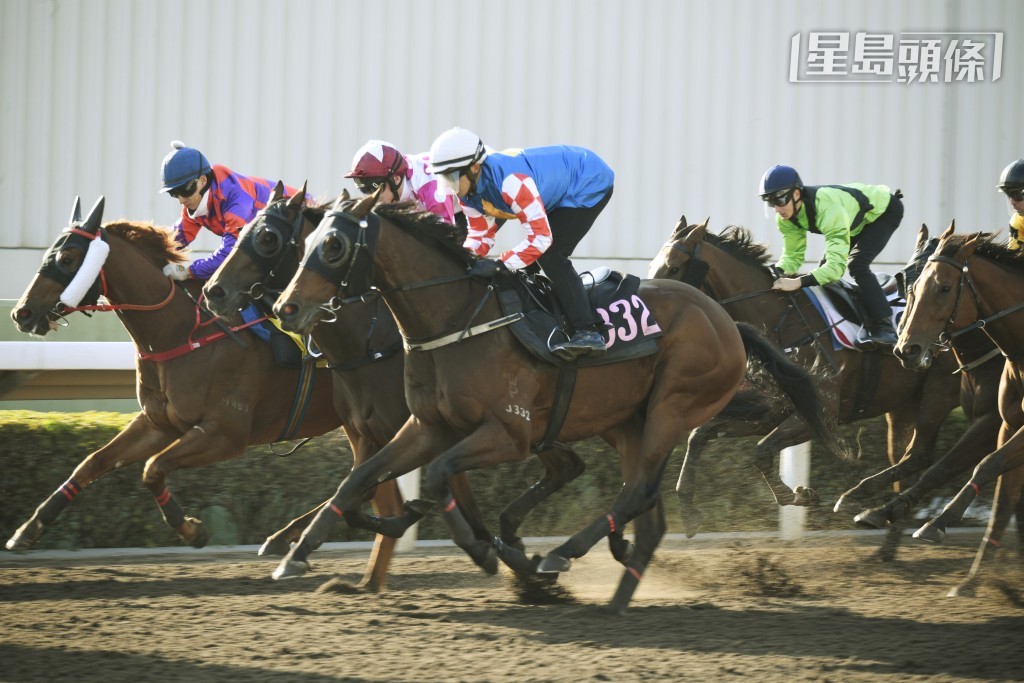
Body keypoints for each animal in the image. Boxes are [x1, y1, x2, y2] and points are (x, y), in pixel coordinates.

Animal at [6, 194, 348, 565]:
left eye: (67, 258)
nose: (21, 313)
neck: (181, 332)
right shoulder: (158, 423)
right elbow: (91, 463)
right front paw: (27, 530)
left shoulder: (225, 434)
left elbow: (153, 469)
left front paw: (193, 531)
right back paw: (291, 534)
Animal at [201, 183, 585, 581]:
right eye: (241, 232)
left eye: (266, 238)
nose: (214, 291)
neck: (369, 346)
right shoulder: (367, 435)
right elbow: (358, 490)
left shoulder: (443, 433)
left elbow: (439, 500)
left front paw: (490, 549)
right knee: (567, 465)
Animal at [268, 197, 835, 614]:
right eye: (306, 244)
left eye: (334, 246)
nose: (284, 308)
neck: (455, 319)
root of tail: (728, 322)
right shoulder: (427, 426)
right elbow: (358, 481)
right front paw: (296, 554)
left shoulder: (508, 434)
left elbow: (439, 475)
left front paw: (483, 550)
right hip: (626, 423)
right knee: (648, 513)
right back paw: (615, 596)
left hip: (673, 408)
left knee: (637, 494)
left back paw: (560, 556)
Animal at [647, 216, 999, 557]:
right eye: (653, 265)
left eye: (674, 267)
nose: (652, 316)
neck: (782, 322)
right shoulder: (774, 408)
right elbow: (700, 434)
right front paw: (689, 512)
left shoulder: (821, 413)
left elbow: (761, 450)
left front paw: (797, 494)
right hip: (902, 406)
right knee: (905, 458)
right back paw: (883, 536)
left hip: (936, 394)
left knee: (922, 454)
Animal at [892, 225, 1024, 598]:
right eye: (909, 284)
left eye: (945, 288)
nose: (906, 348)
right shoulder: (1007, 425)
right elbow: (1002, 503)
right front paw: (971, 581)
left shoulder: (995, 426)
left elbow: (986, 465)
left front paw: (935, 524)